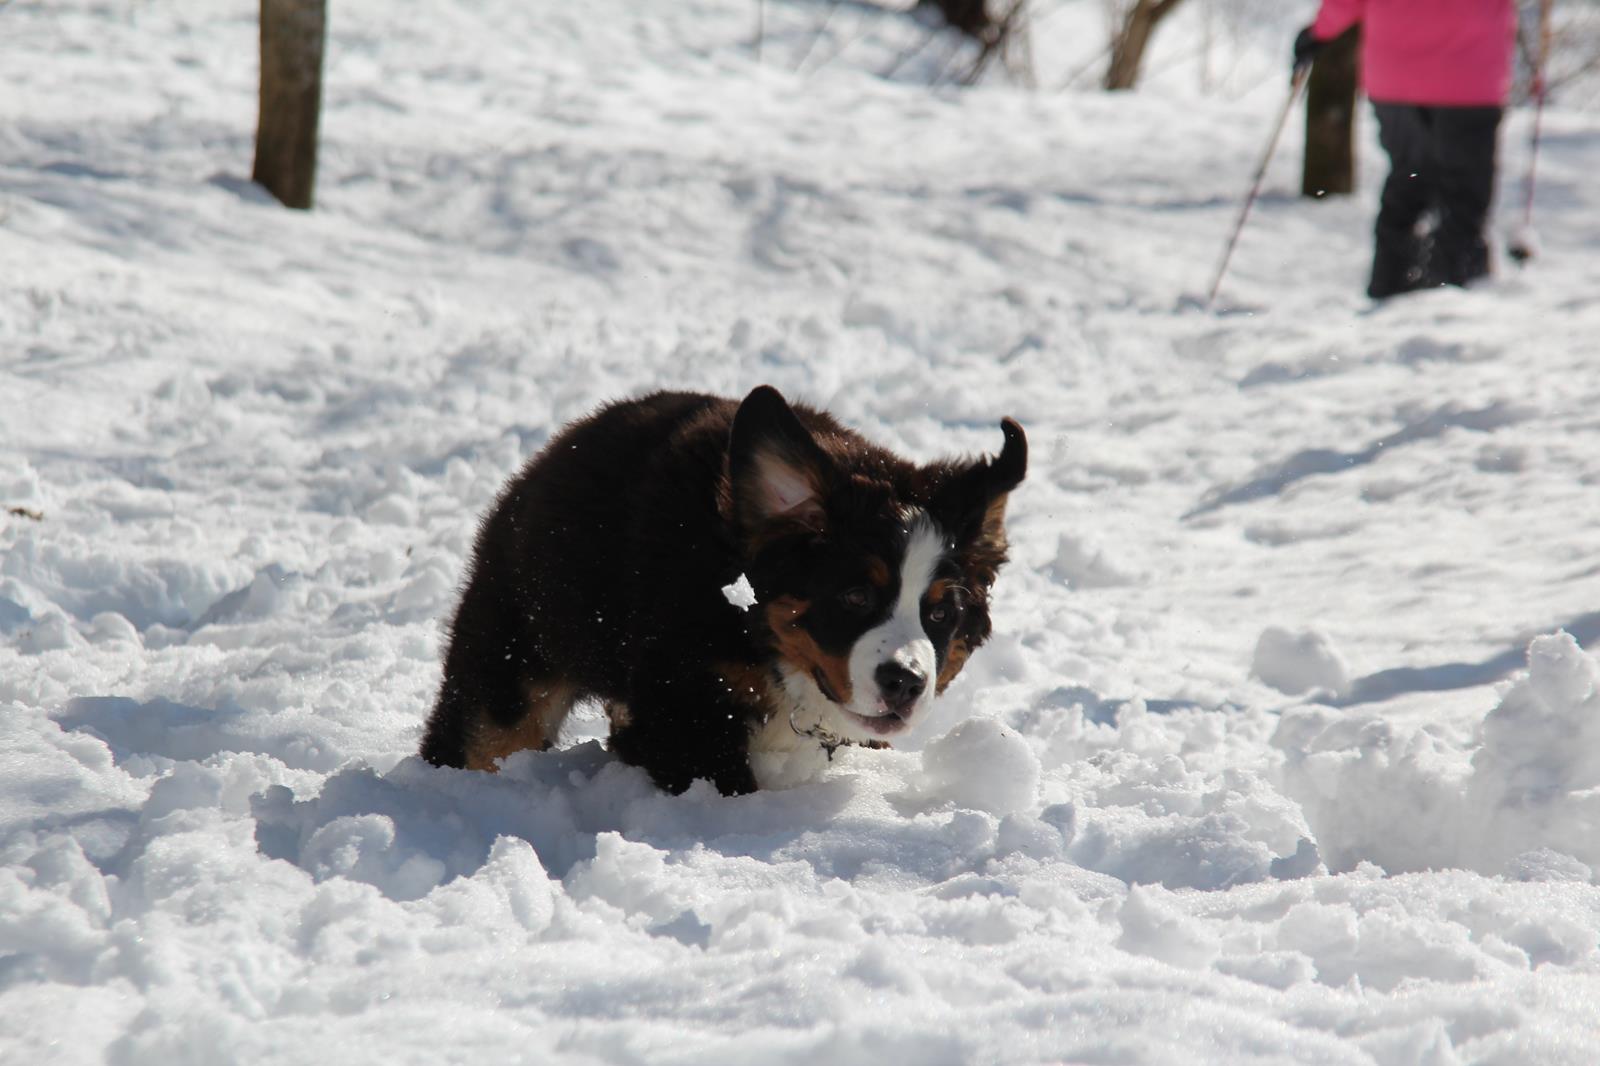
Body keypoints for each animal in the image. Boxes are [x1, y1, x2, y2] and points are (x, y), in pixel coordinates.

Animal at [422, 382, 1024, 787]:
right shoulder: (685, 705)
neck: (758, 633)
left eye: (940, 613)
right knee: (483, 733)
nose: (904, 683)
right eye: (854, 596)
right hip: (515, 655)